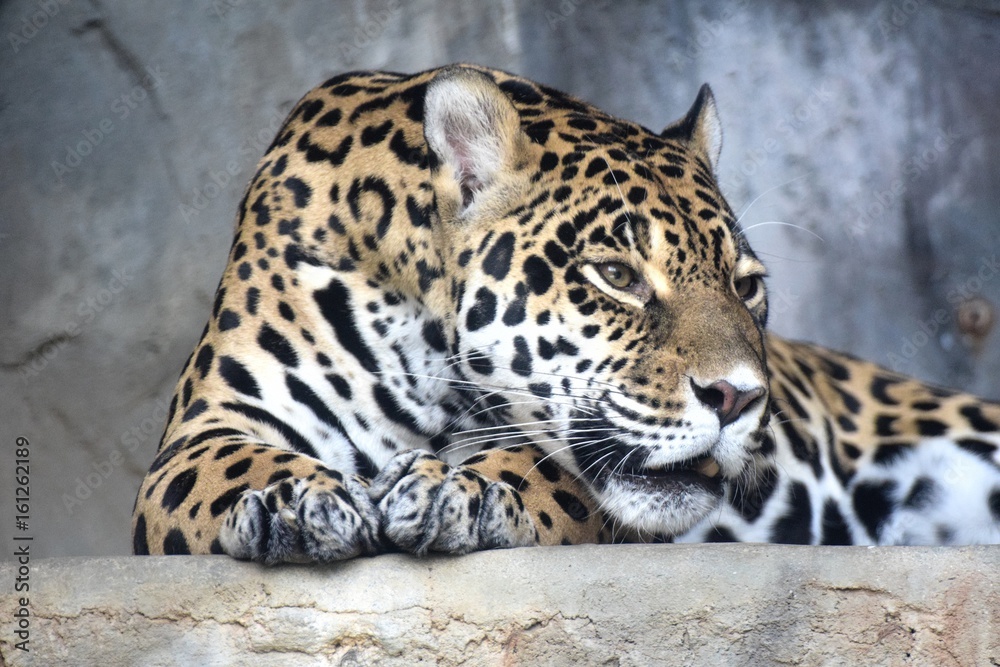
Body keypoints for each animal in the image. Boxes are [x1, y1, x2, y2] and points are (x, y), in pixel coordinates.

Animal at [132, 64, 1000, 562]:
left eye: (746, 285)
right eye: (616, 275)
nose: (741, 398)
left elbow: (550, 466)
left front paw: (465, 489)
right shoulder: (201, 431)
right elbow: (229, 465)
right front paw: (296, 498)